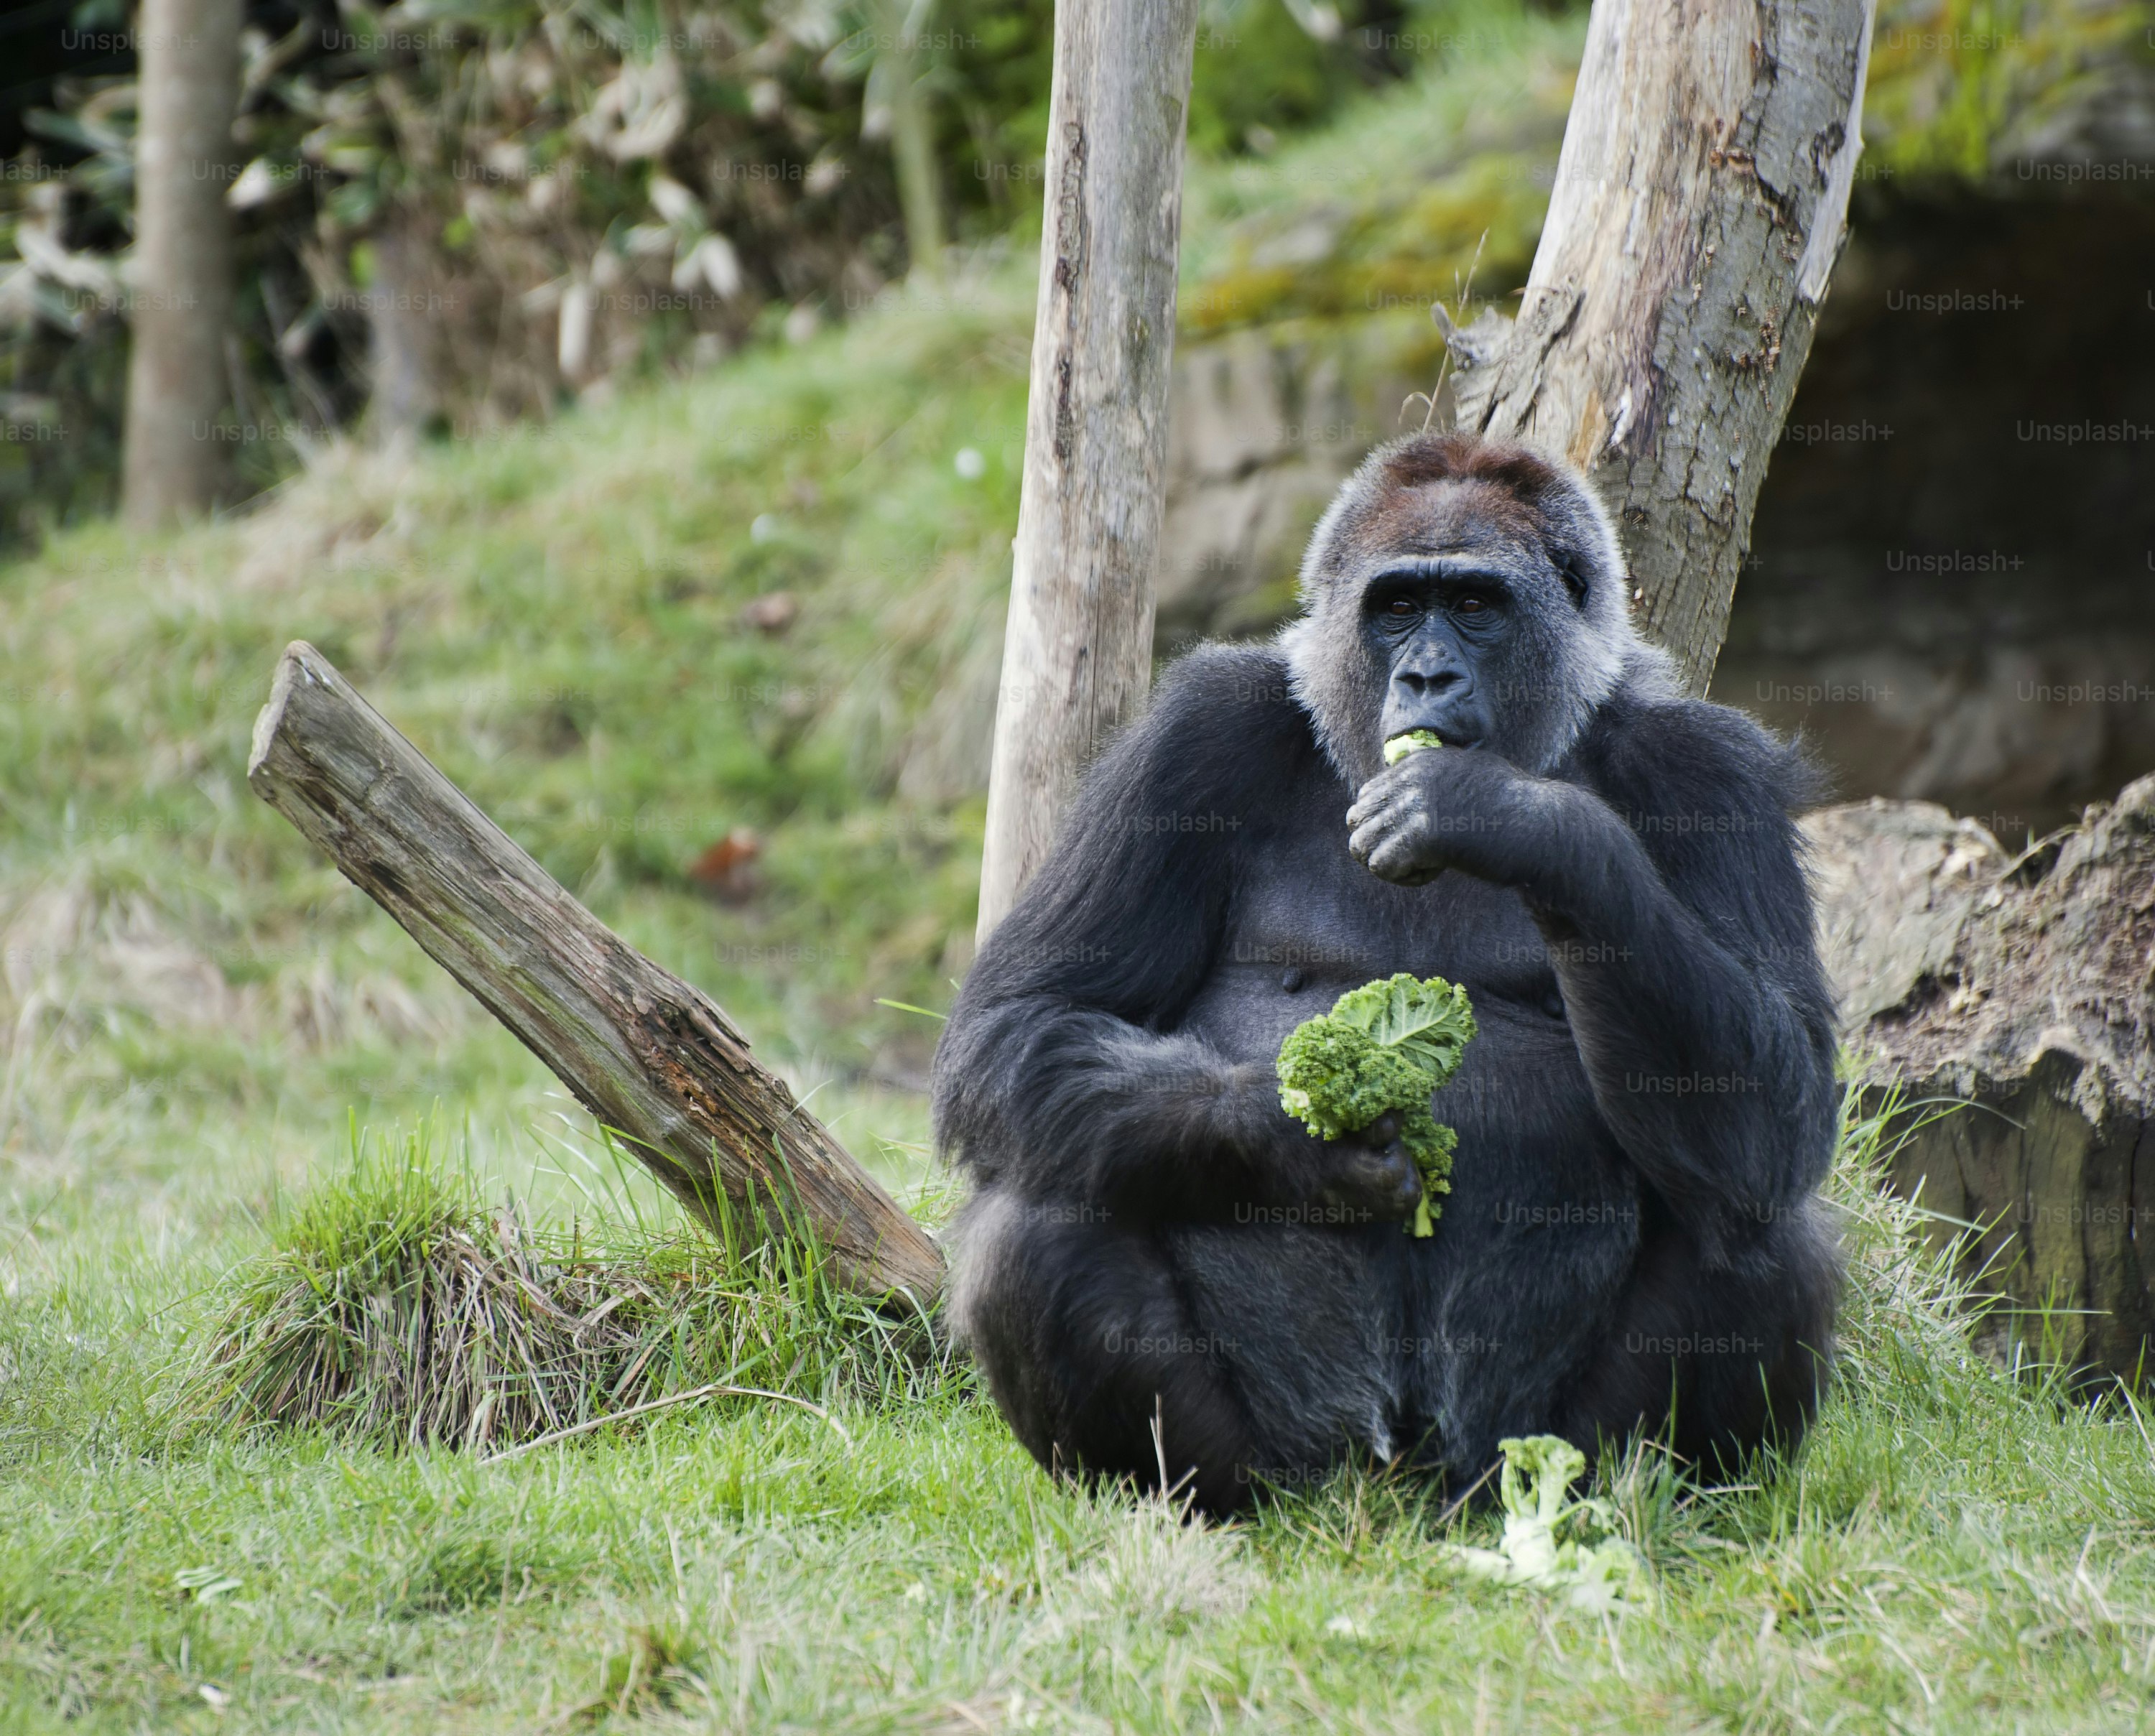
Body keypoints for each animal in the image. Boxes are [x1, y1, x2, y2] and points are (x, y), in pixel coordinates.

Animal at [931, 431, 1841, 1515]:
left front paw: (1526, 823)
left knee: (1759, 1223)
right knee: (1044, 1203)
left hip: (1514, 1454)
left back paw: (1642, 1501)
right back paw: (1182, 1499)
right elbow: (1025, 1017)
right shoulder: (1194, 733)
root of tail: (1397, 1482)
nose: (1428, 677)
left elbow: (1783, 1098)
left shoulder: (1715, 768)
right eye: (1399, 605)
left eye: (1478, 605)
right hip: (1298, 1464)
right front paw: (1290, 1135)